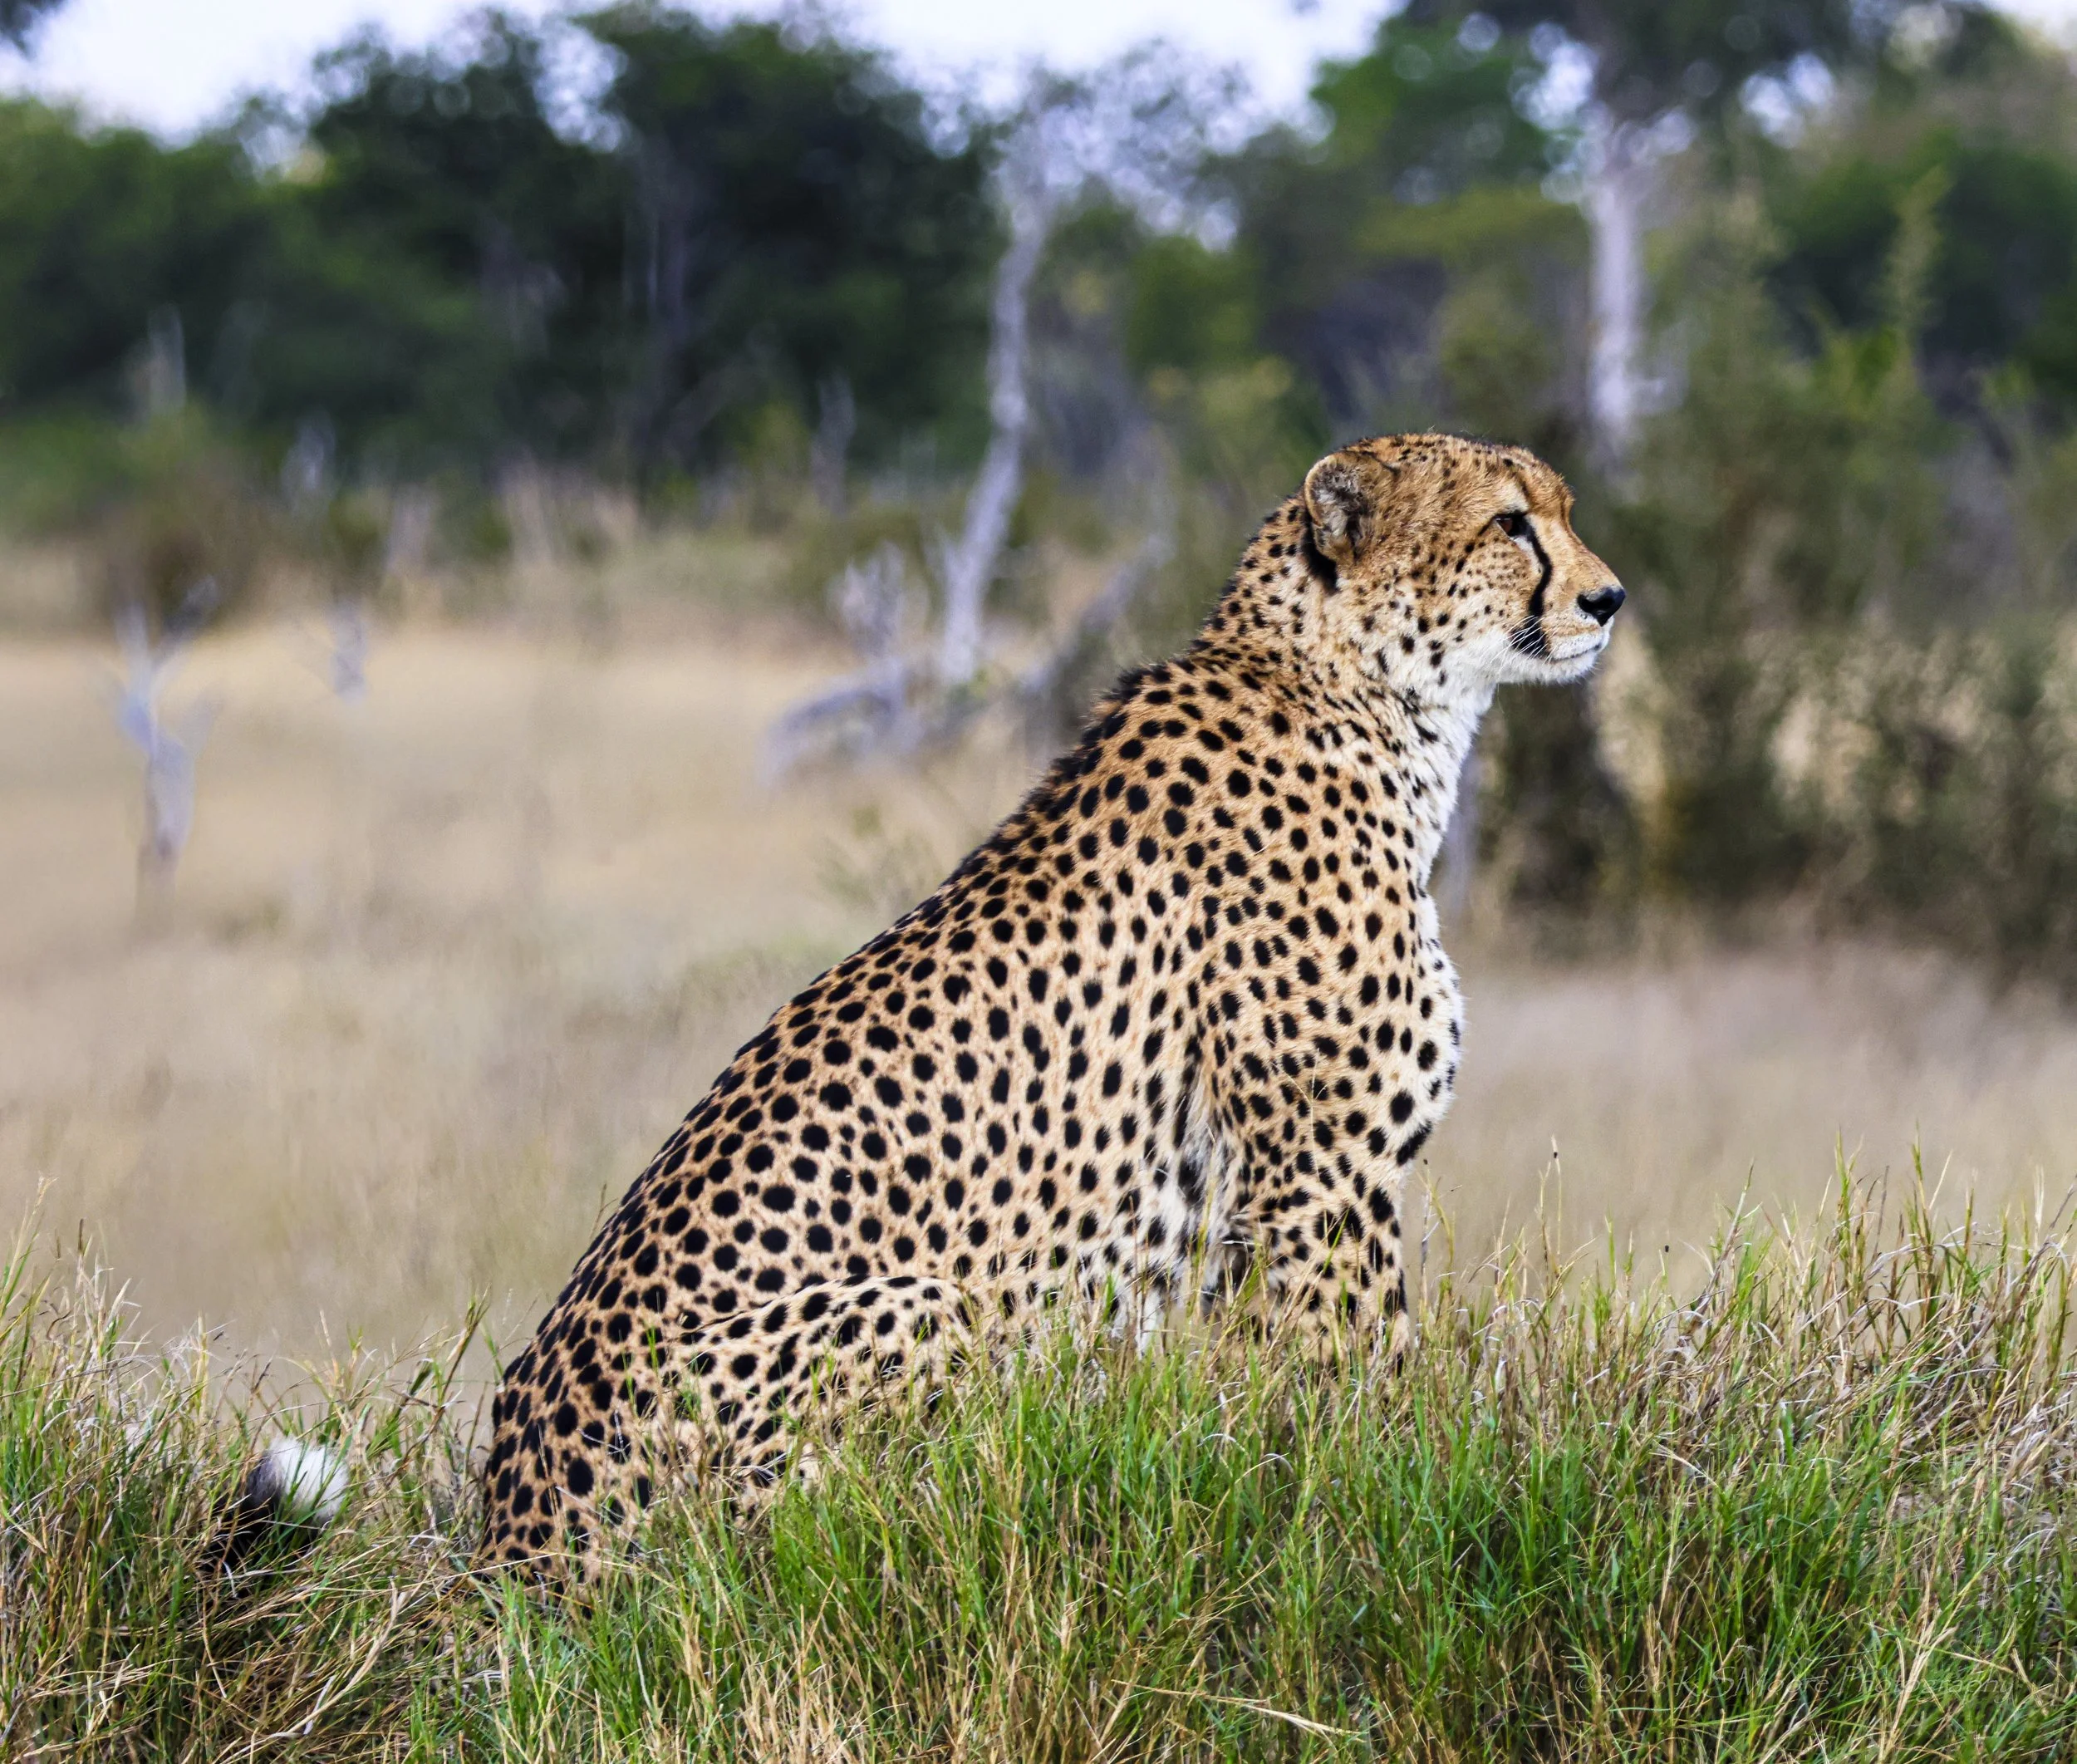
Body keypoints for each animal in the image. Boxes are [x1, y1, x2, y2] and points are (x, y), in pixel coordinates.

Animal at [481, 432, 1626, 1578]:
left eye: (1564, 509)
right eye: (1509, 522)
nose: (1608, 597)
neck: (1363, 694)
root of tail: (504, 1543)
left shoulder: (1268, 1204)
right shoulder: (1320, 1176)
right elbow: (1364, 1388)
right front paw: (1388, 1507)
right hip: (917, 1307)